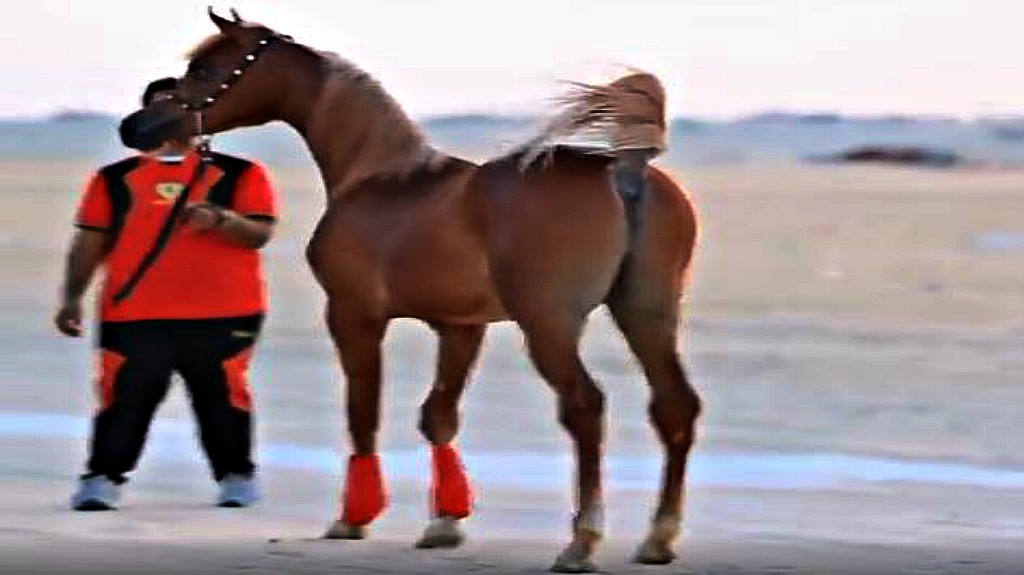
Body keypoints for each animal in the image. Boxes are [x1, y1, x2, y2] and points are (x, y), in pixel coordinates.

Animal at [118, 9, 701, 573]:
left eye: (206, 69)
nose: (137, 125)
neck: (378, 176)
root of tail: (627, 172)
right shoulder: (460, 326)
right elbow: (438, 415)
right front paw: (444, 524)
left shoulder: (353, 315)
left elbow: (363, 411)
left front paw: (352, 518)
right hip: (646, 313)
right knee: (675, 407)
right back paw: (658, 539)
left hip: (550, 323)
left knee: (585, 407)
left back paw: (581, 543)